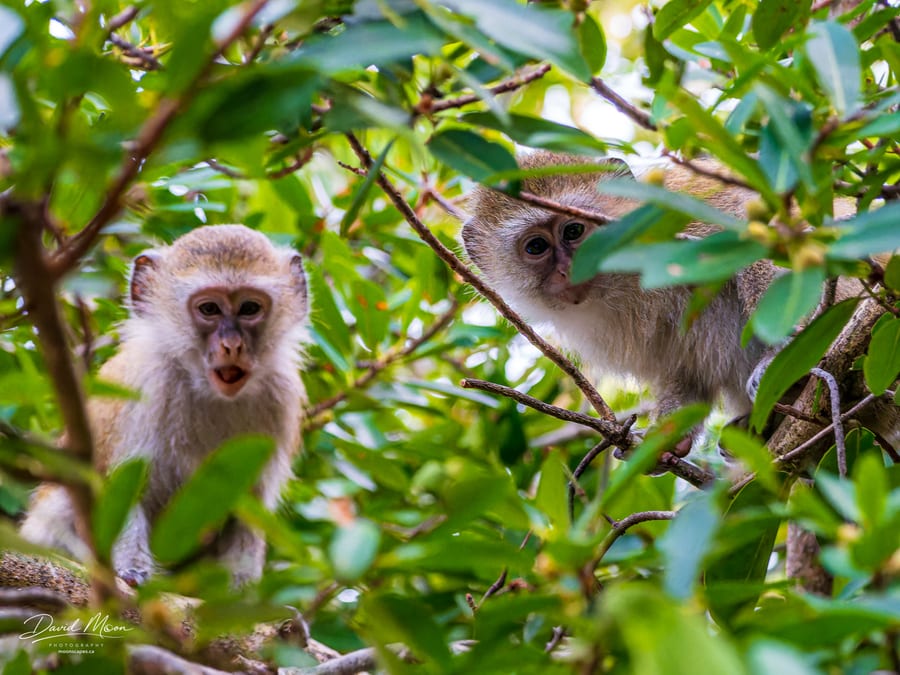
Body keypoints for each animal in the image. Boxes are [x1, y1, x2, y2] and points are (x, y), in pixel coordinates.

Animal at [20, 225, 309, 586]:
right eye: (210, 309)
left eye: (249, 308)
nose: (232, 346)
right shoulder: (145, 387)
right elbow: (124, 489)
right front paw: (133, 571)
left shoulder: (280, 397)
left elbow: (249, 507)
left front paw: (239, 594)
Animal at [462, 151, 898, 461]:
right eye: (537, 246)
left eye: (573, 230)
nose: (570, 270)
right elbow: (682, 370)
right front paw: (668, 439)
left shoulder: (678, 212)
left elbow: (756, 231)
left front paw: (780, 356)